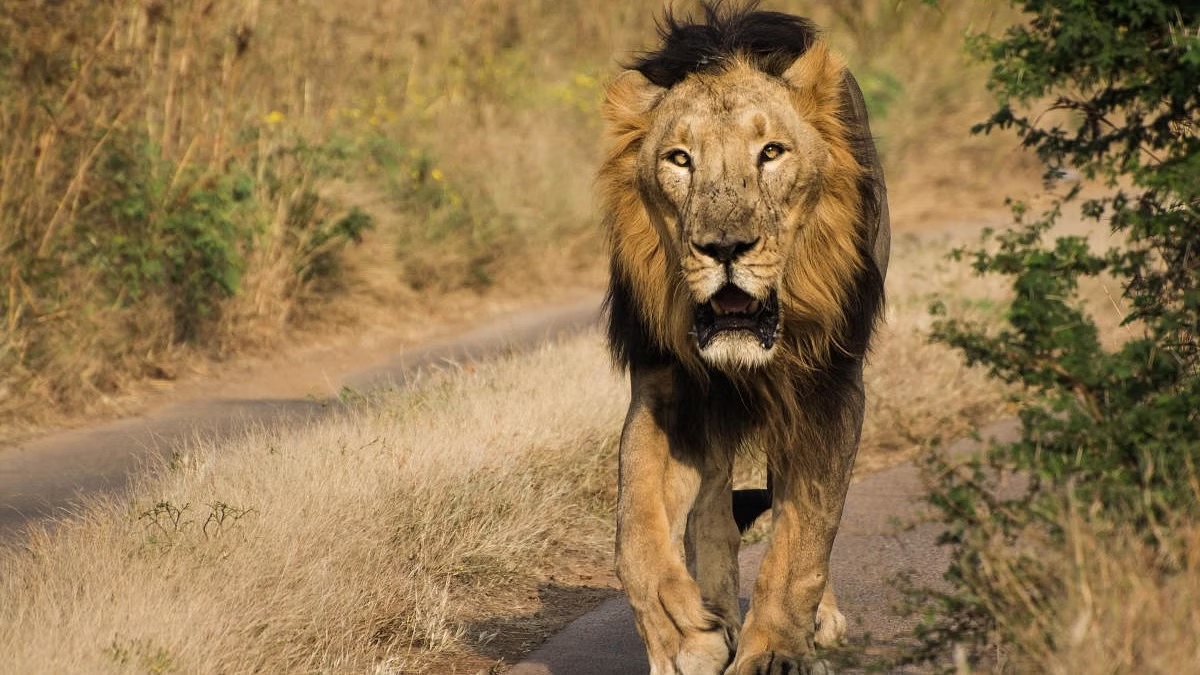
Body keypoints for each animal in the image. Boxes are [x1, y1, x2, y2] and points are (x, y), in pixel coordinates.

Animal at [600, 2, 892, 667]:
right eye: (679, 159)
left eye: (772, 152)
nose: (725, 247)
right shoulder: (666, 384)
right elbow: (634, 531)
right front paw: (684, 638)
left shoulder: (828, 385)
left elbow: (804, 532)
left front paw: (776, 651)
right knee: (710, 511)